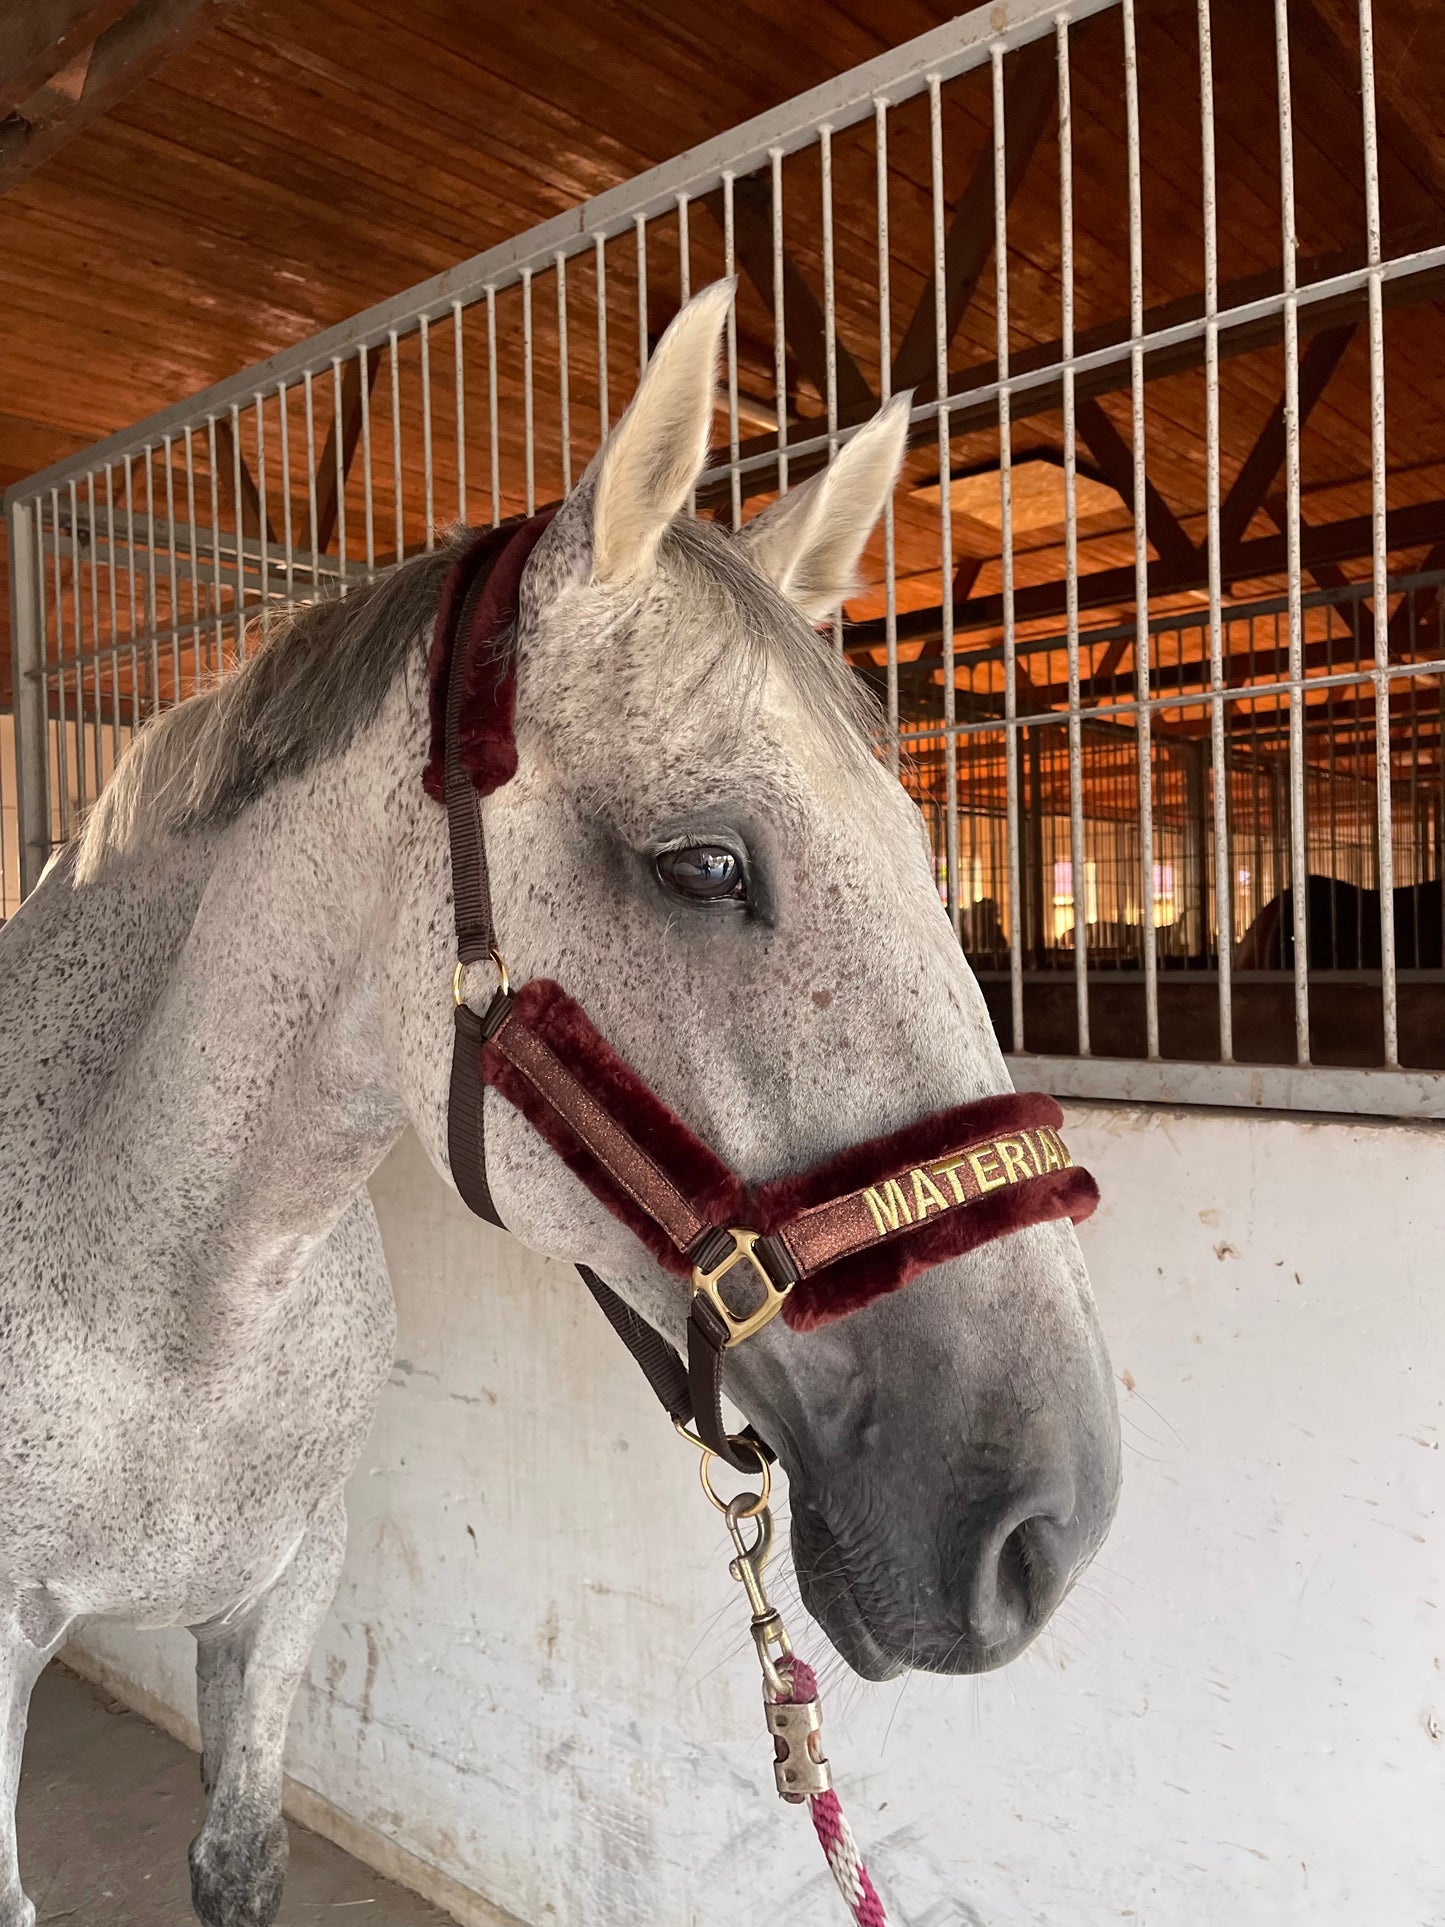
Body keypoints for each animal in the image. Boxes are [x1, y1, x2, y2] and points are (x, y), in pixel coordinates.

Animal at [0, 285, 1117, 1927]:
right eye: (702, 862)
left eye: (927, 850)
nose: (1056, 1521)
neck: (169, 1291)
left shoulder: (285, 1586)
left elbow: (239, 1856)